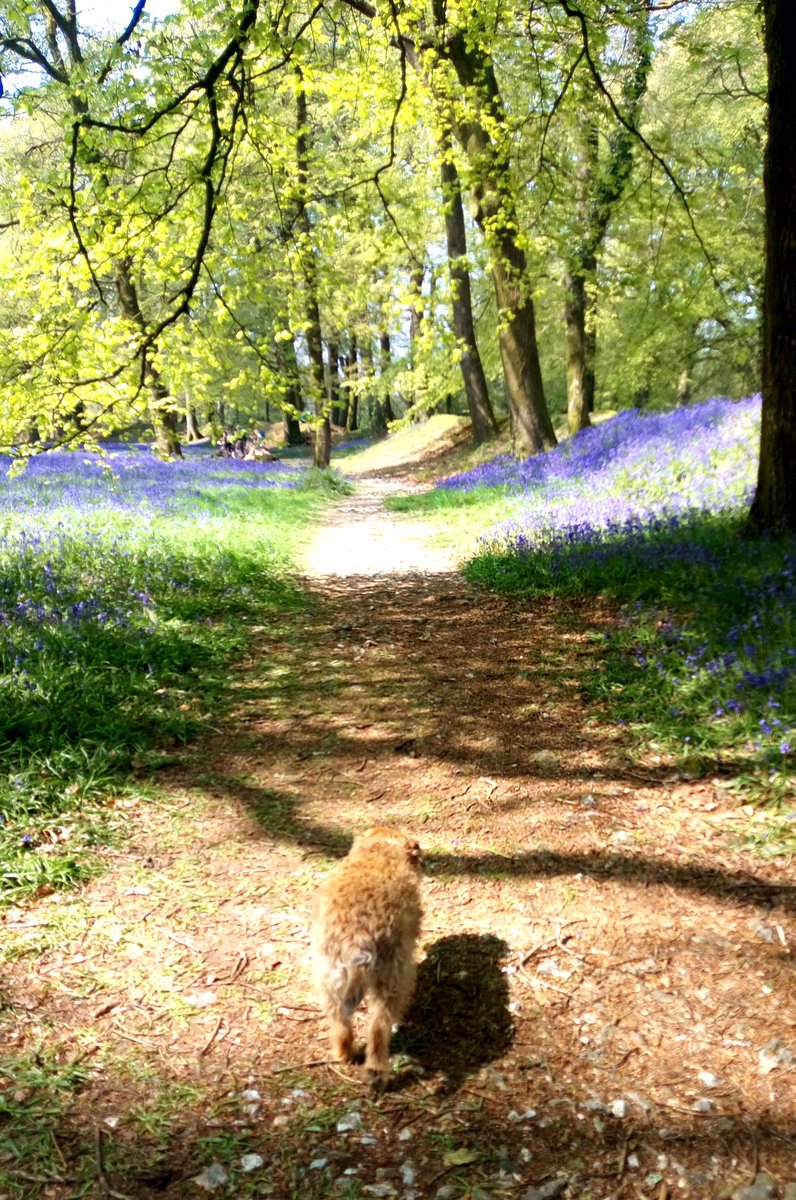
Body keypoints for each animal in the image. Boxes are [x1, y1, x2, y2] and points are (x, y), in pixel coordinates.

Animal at [309, 830, 422, 1094]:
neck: (378, 853)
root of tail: (356, 938)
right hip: (392, 980)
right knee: (378, 1031)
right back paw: (377, 1073)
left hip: (328, 980)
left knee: (340, 1025)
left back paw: (345, 1053)